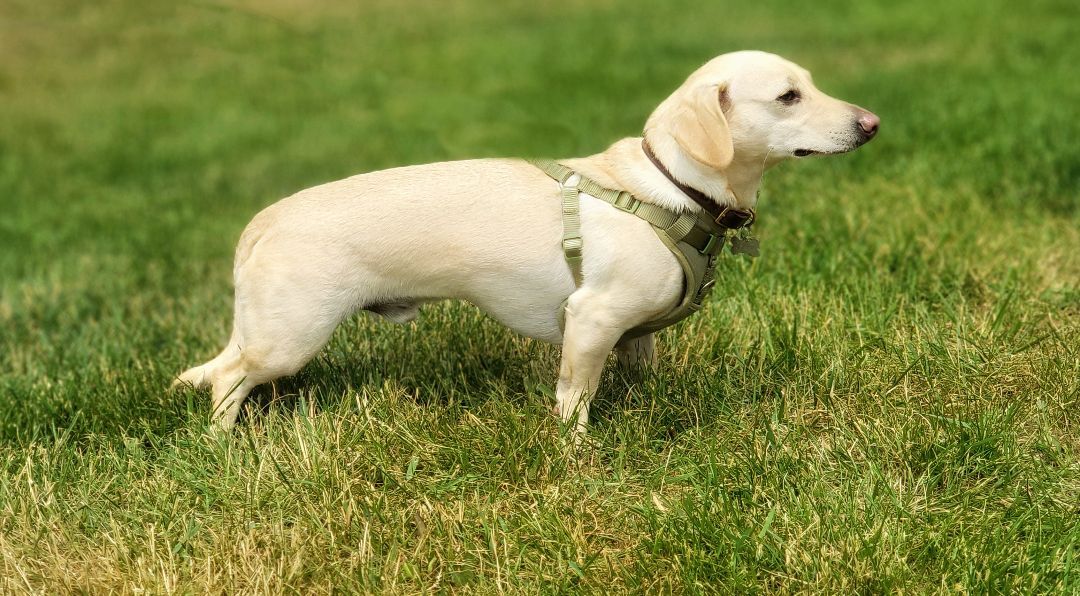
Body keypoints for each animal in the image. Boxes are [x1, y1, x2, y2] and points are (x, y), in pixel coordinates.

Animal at [174, 49, 876, 434]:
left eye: (810, 84)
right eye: (788, 96)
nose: (872, 123)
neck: (667, 187)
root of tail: (266, 220)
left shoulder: (635, 336)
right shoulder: (591, 319)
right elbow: (574, 399)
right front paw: (577, 453)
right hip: (289, 338)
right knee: (228, 379)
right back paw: (222, 445)